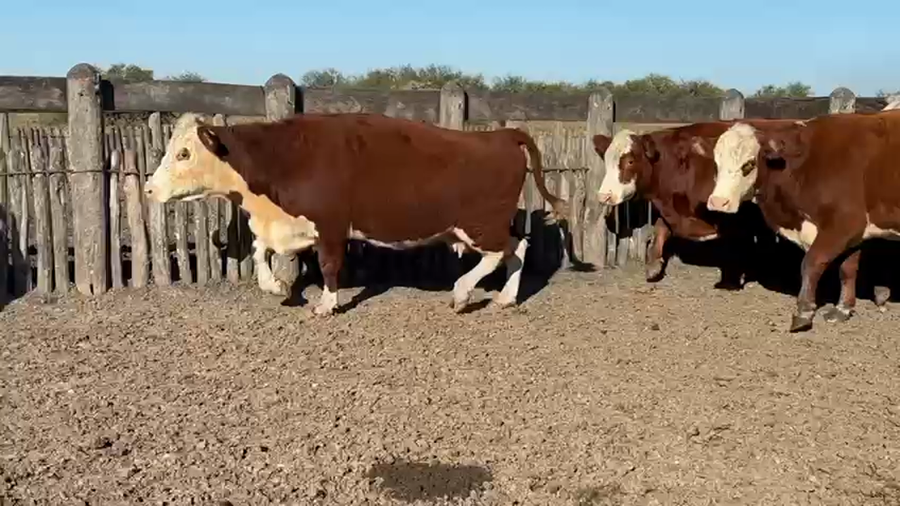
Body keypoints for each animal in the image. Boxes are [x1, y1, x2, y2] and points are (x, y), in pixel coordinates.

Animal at [143, 112, 568, 316]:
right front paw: (276, 286)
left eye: (183, 153)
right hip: (484, 225)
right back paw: (505, 299)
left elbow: (330, 267)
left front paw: (326, 304)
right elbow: (261, 251)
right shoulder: (292, 225)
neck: (285, 158)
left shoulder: (332, 226)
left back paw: (463, 293)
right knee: (518, 248)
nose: (149, 189)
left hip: (479, 225)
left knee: (501, 253)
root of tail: (501, 135)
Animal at [707, 108, 900, 332]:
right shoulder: (855, 233)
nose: (718, 202)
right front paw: (842, 309)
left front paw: (803, 312)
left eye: (749, 164)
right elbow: (848, 269)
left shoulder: (845, 225)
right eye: (716, 163)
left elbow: (811, 262)